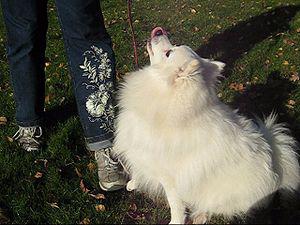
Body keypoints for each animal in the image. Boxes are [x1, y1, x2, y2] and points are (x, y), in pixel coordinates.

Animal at [113, 26, 300, 223]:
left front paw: (175, 222)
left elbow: (175, 205)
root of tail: (277, 169)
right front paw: (133, 183)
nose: (158, 31)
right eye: (172, 47)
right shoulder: (140, 153)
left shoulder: (171, 179)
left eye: (168, 53)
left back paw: (200, 215)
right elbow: (138, 170)